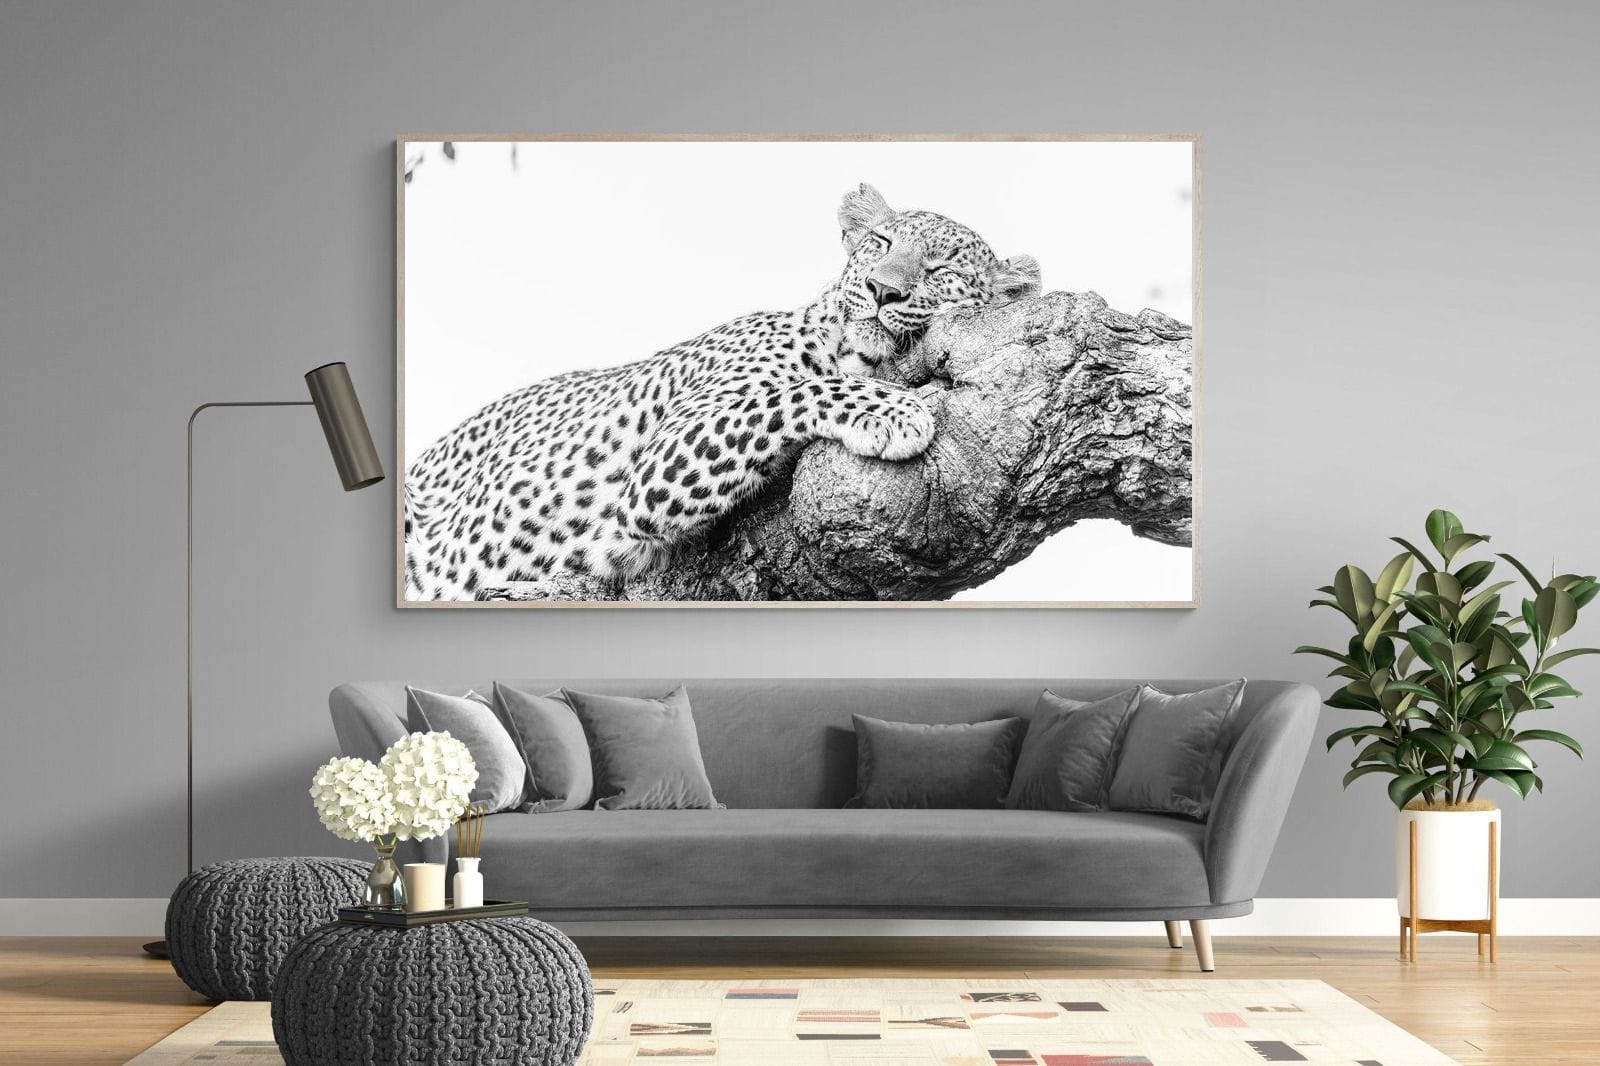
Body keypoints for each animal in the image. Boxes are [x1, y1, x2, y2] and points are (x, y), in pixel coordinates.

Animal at [403, 183, 1041, 600]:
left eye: (941, 270)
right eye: (881, 243)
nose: (882, 290)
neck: (848, 346)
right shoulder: (657, 467)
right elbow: (792, 393)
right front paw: (894, 410)